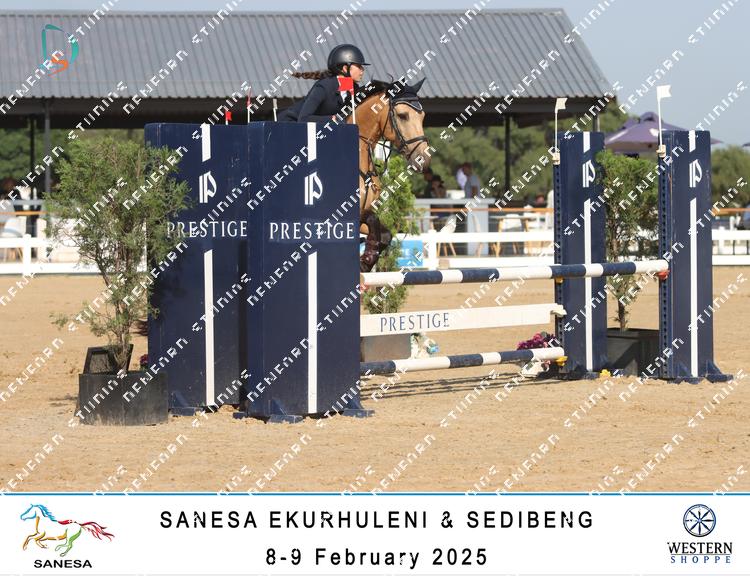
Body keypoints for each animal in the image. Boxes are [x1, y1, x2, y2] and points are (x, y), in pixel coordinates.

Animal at [347, 78, 431, 271]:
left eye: (422, 116)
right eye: (403, 115)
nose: (423, 159)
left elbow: (384, 235)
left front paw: (365, 262)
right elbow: (373, 221)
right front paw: (367, 258)